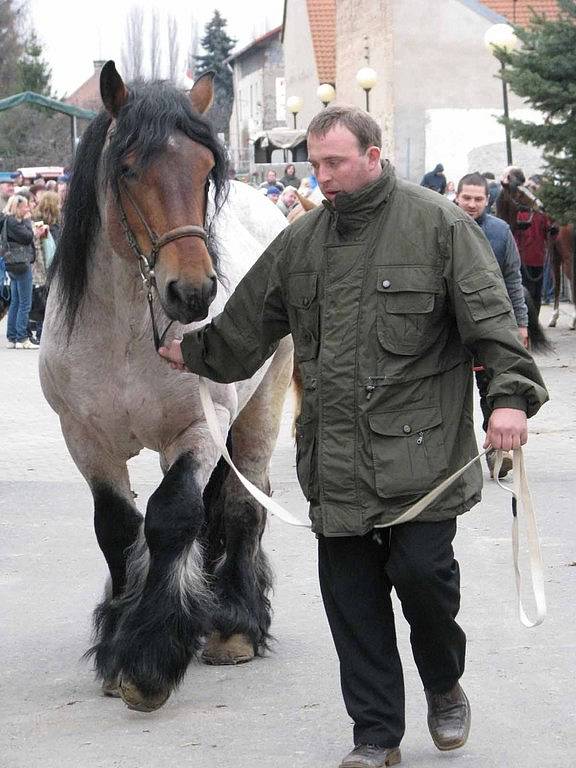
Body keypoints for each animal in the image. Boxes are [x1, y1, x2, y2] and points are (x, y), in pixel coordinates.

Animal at [40, 61, 292, 712]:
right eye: (128, 168)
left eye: (206, 171)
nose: (194, 291)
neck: (129, 333)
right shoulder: (86, 441)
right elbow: (118, 527)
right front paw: (117, 640)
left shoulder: (201, 429)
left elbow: (172, 516)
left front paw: (149, 660)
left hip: (260, 410)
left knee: (242, 503)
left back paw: (233, 627)